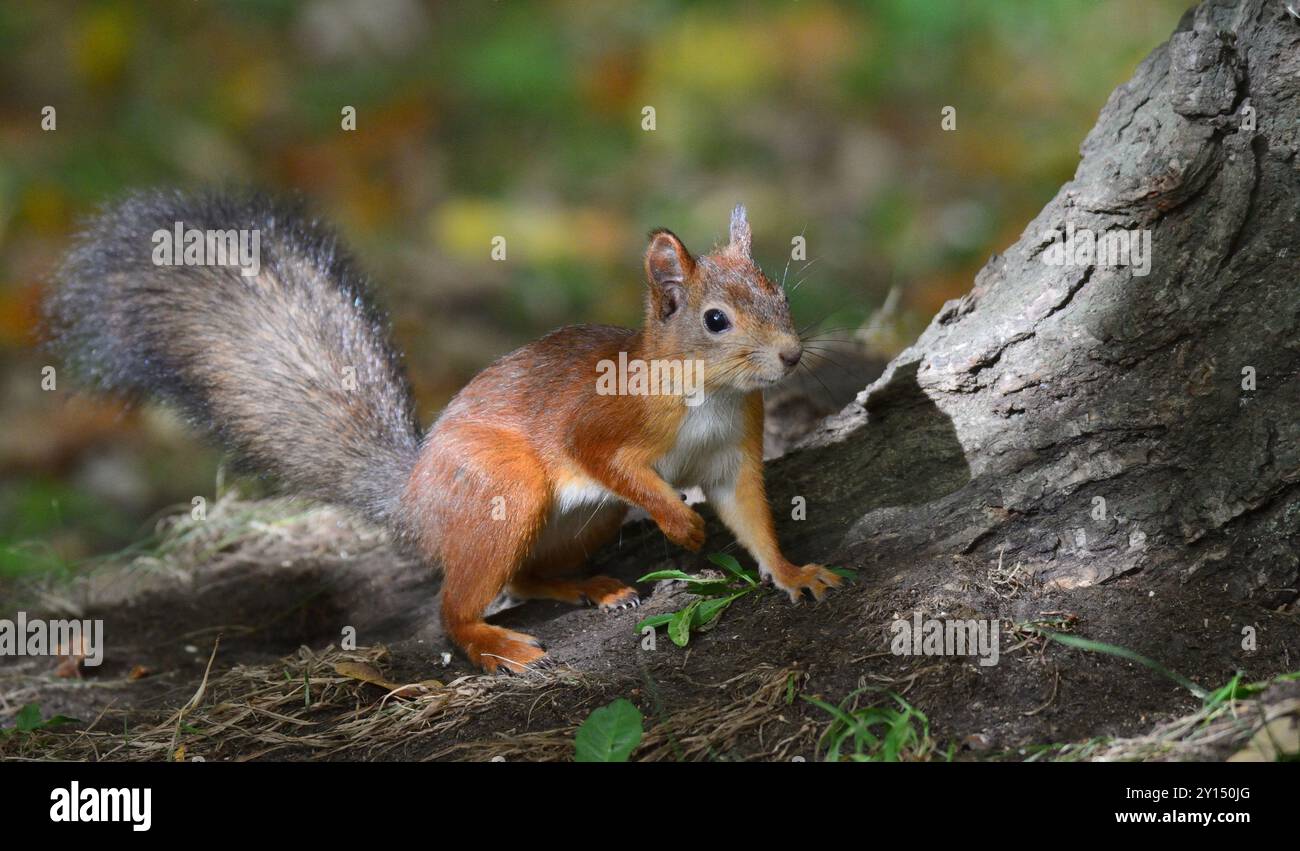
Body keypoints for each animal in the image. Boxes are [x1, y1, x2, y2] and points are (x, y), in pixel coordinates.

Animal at [45, 190, 842, 670]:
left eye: (778, 292)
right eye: (715, 319)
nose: (790, 355)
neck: (709, 393)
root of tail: (414, 497)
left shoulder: (733, 453)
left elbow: (752, 515)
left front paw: (793, 572)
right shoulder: (600, 422)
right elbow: (608, 460)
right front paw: (680, 523)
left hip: (576, 522)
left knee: (522, 573)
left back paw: (589, 587)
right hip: (504, 488)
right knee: (452, 610)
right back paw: (494, 644)